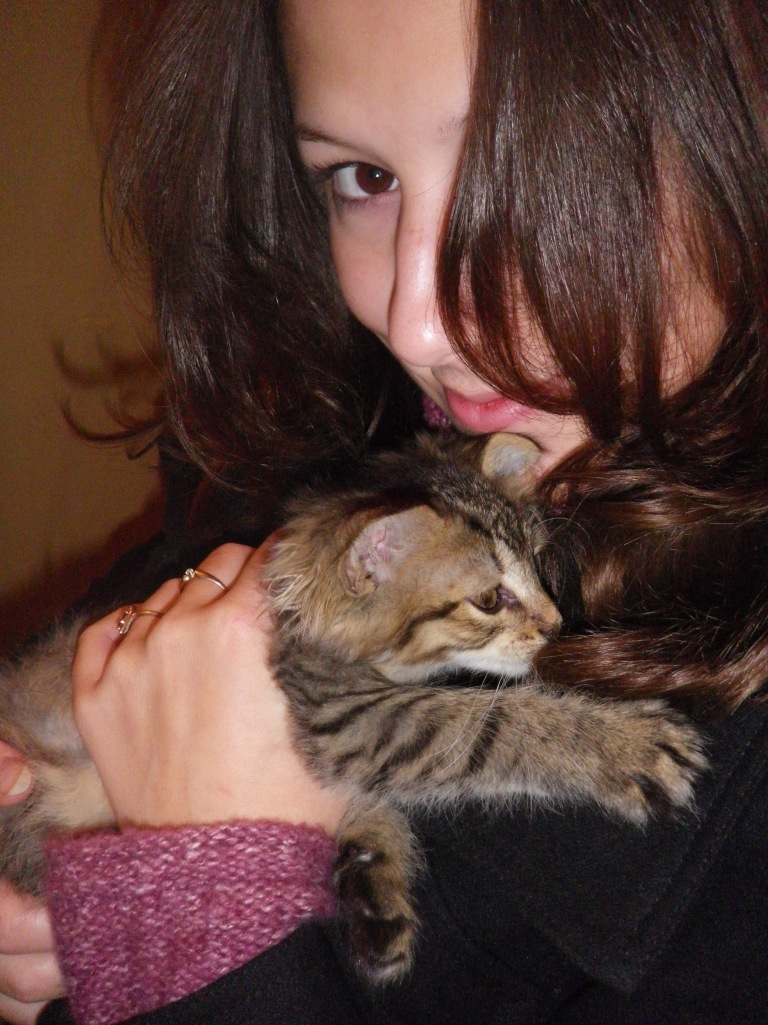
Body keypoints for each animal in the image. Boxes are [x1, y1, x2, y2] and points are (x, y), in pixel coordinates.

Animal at [0, 432, 706, 983]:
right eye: (488, 599)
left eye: (538, 564)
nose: (558, 627)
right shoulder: (346, 713)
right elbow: (486, 722)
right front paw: (619, 745)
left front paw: (374, 876)